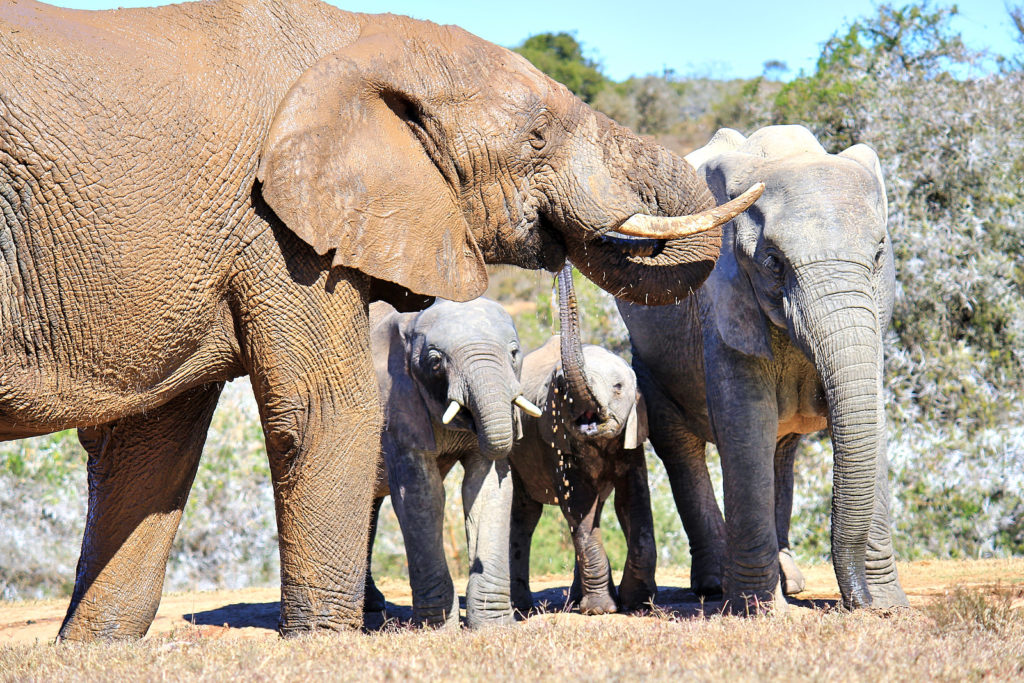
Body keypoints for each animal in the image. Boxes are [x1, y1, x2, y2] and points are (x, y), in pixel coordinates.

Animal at [360, 299, 540, 630]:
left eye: (514, 353)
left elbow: (486, 488)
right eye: (435, 362)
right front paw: (437, 627)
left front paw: (494, 625)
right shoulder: (397, 405)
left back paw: (371, 604)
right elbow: (421, 495)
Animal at [509, 266, 655, 614]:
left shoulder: (632, 439)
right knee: (524, 515)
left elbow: (632, 502)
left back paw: (576, 600)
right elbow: (578, 507)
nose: (561, 267)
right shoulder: (556, 443)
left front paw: (637, 603)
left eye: (618, 387)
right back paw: (523, 608)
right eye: (561, 387)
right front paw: (602, 610)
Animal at [618, 125, 909, 610]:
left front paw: (887, 607)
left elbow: (872, 418)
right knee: (680, 446)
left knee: (781, 450)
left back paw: (790, 581)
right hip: (650, 358)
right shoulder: (720, 299)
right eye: (773, 263)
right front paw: (757, 610)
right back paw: (716, 585)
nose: (857, 601)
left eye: (878, 256)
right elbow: (746, 422)